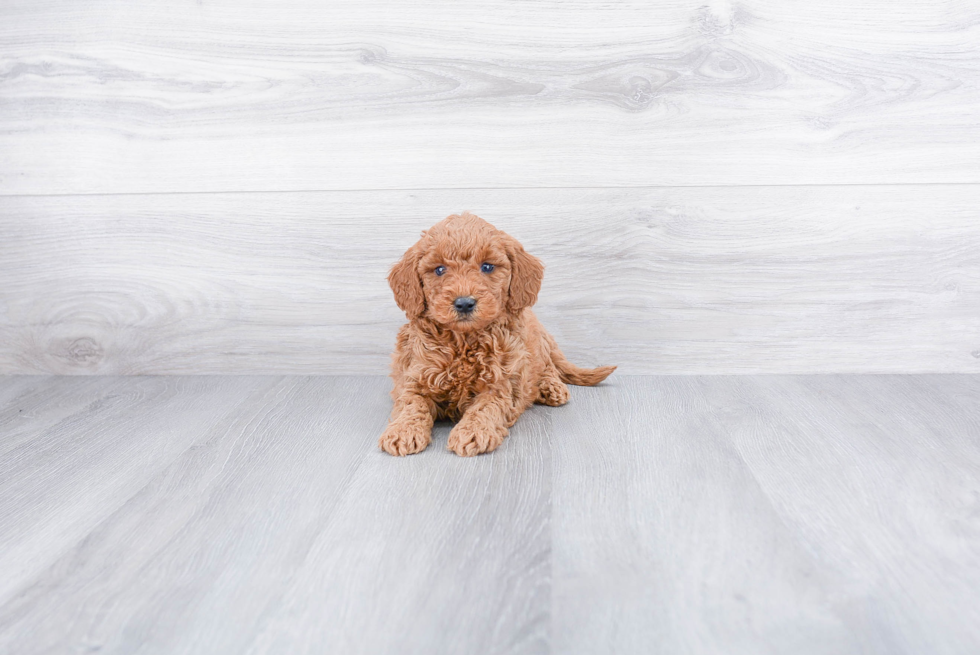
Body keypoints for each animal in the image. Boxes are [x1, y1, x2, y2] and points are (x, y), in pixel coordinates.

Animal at [380, 213, 616, 458]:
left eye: (487, 267)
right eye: (439, 270)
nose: (464, 303)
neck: (464, 342)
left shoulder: (500, 382)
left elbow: (486, 407)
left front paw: (472, 432)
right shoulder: (415, 376)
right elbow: (411, 403)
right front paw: (402, 430)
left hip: (537, 344)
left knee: (548, 365)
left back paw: (551, 387)